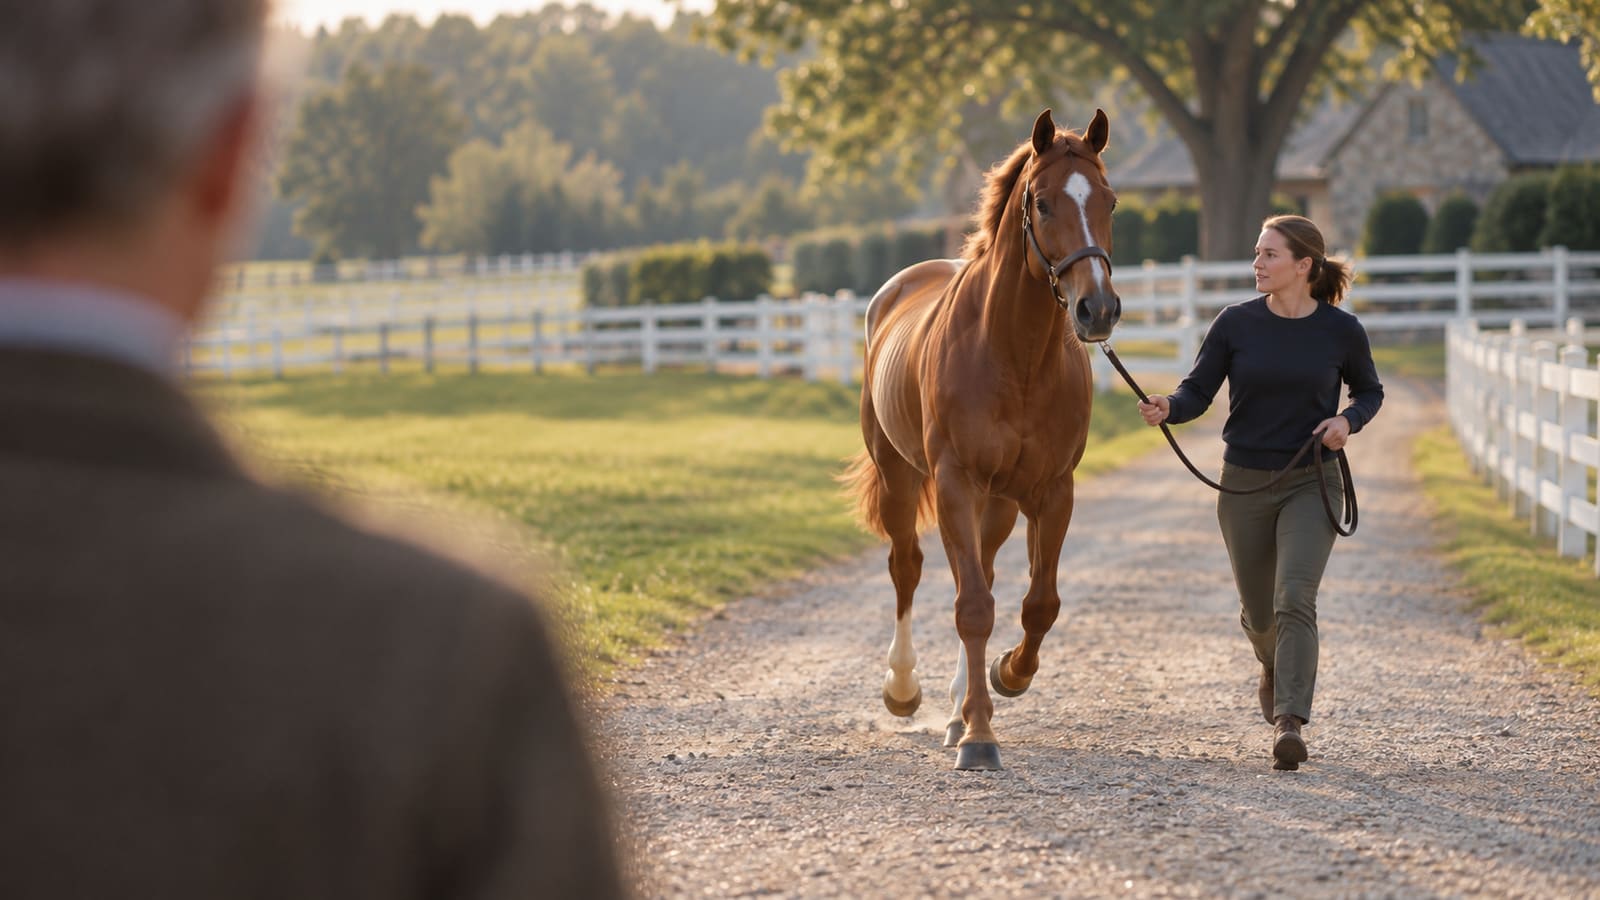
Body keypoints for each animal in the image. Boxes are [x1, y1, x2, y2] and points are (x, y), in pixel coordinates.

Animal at [842, 108, 1122, 771]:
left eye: (1110, 201)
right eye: (1042, 203)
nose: (1097, 310)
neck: (1013, 355)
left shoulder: (1052, 491)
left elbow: (1037, 604)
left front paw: (1006, 677)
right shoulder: (954, 484)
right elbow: (970, 608)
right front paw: (978, 737)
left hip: (996, 504)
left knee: (986, 574)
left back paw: (956, 705)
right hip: (900, 481)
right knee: (909, 570)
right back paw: (905, 690)